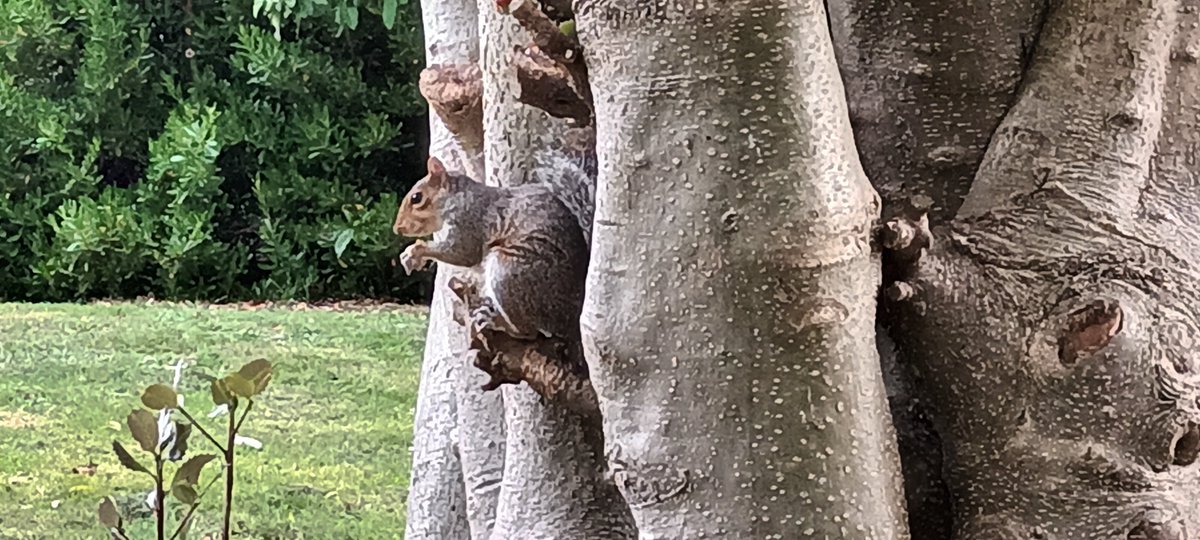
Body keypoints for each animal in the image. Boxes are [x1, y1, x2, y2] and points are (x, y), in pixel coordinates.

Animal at [392, 148, 596, 344]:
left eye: (416, 197)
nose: (397, 228)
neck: (457, 198)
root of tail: (571, 318)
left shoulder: (469, 221)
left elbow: (463, 254)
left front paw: (416, 250)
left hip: (508, 271)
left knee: (528, 332)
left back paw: (499, 323)